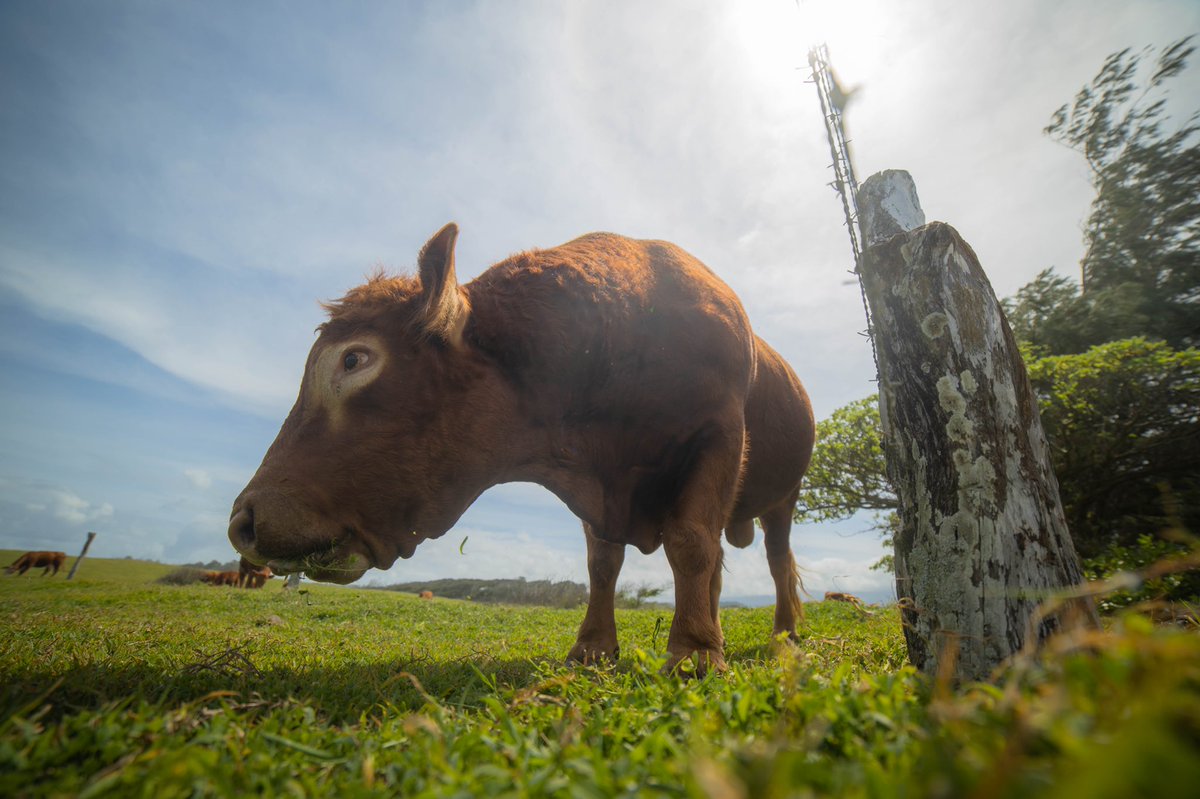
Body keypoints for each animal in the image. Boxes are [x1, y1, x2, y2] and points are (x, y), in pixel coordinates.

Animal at [229, 224, 815, 673]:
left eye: (353, 359)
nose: (244, 521)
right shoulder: (597, 485)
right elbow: (604, 564)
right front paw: (593, 648)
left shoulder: (719, 436)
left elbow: (690, 543)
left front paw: (693, 654)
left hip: (783, 499)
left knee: (776, 559)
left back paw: (784, 634)